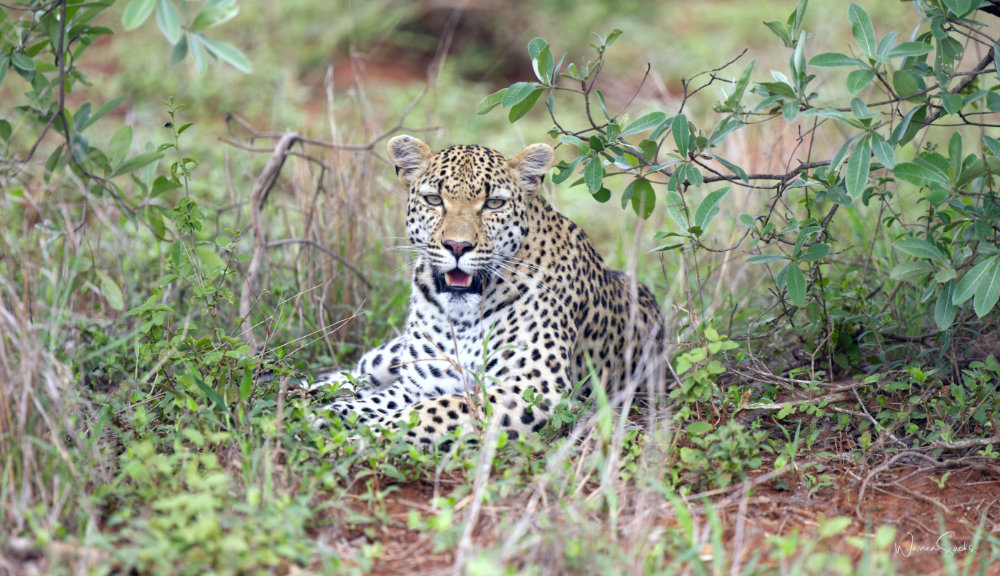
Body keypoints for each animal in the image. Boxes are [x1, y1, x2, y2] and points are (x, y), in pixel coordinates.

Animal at [310, 135, 664, 447]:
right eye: (434, 199)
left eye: (493, 203)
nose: (457, 246)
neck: (463, 315)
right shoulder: (421, 382)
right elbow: (379, 403)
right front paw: (329, 416)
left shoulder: (532, 386)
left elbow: (433, 411)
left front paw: (363, 435)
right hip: (391, 355)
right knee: (357, 372)